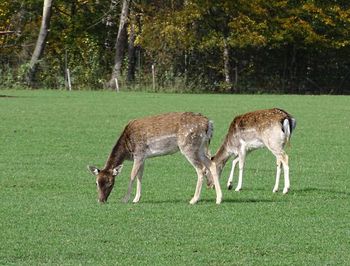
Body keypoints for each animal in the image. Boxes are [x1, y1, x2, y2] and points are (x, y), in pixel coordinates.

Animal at [87, 111, 221, 205]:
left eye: (110, 183)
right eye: (96, 182)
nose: (101, 200)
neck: (127, 148)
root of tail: (209, 124)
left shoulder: (139, 153)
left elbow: (132, 175)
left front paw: (125, 199)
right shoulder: (143, 157)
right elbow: (140, 176)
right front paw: (136, 199)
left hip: (188, 146)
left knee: (201, 169)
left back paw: (194, 200)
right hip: (200, 148)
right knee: (212, 164)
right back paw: (219, 199)